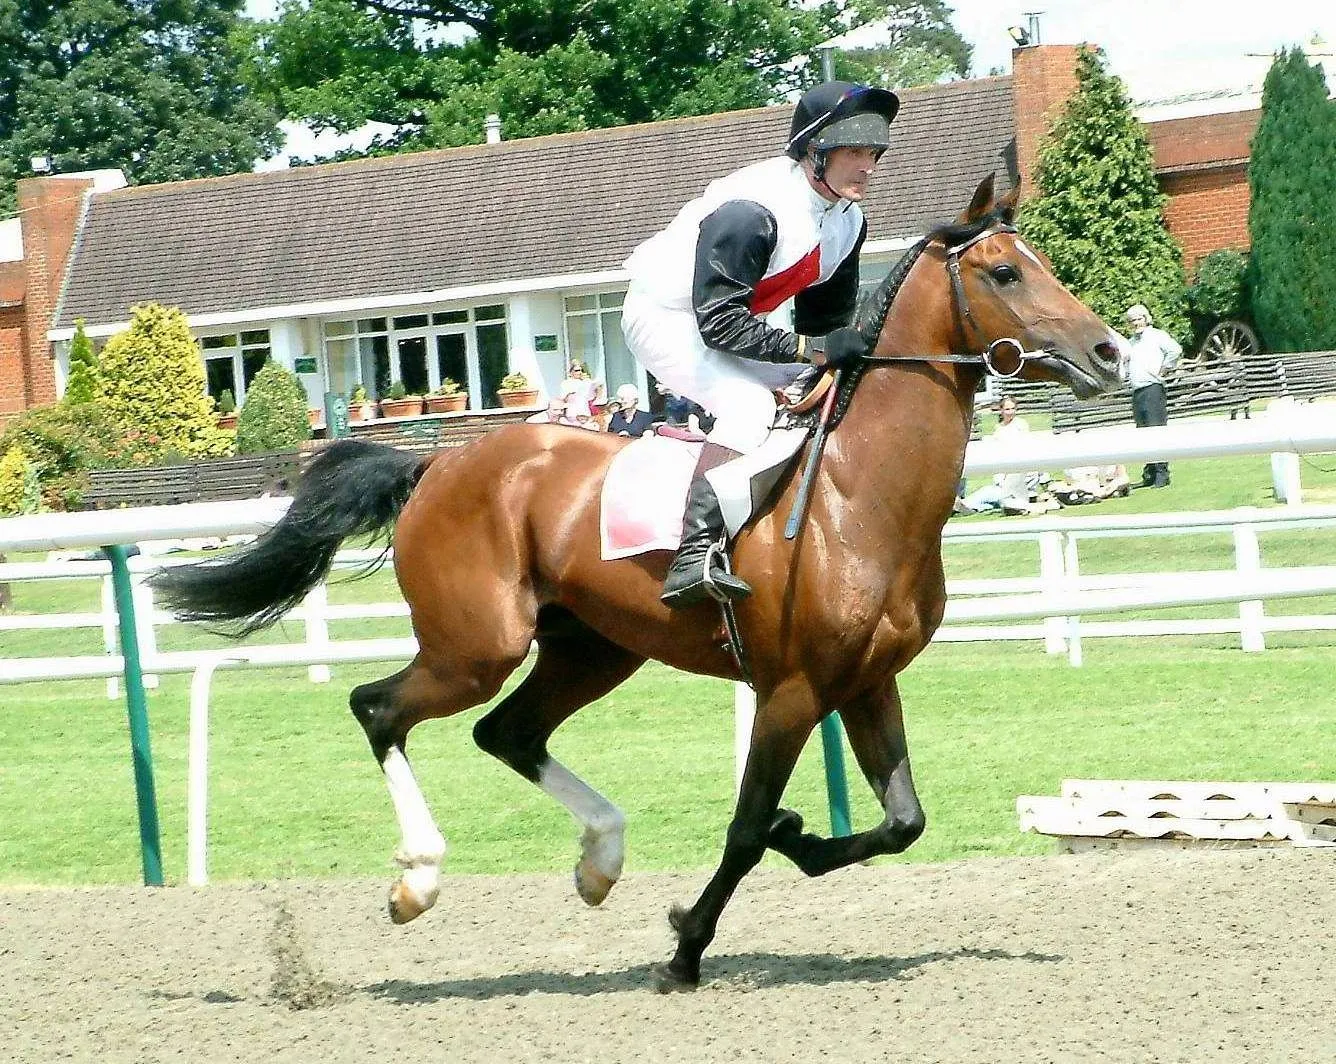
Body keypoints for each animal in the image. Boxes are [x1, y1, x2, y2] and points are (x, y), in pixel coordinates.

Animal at [151, 175, 1122, 989]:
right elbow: (744, 830)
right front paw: (688, 945)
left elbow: (902, 821)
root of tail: (435, 467)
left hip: (593, 649)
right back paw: (418, 881)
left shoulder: (866, 680)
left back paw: (600, 860)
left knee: (507, 733)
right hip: (477, 646)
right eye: (1005, 271)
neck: (860, 493)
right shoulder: (792, 689)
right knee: (379, 708)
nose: (1111, 351)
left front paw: (796, 840)